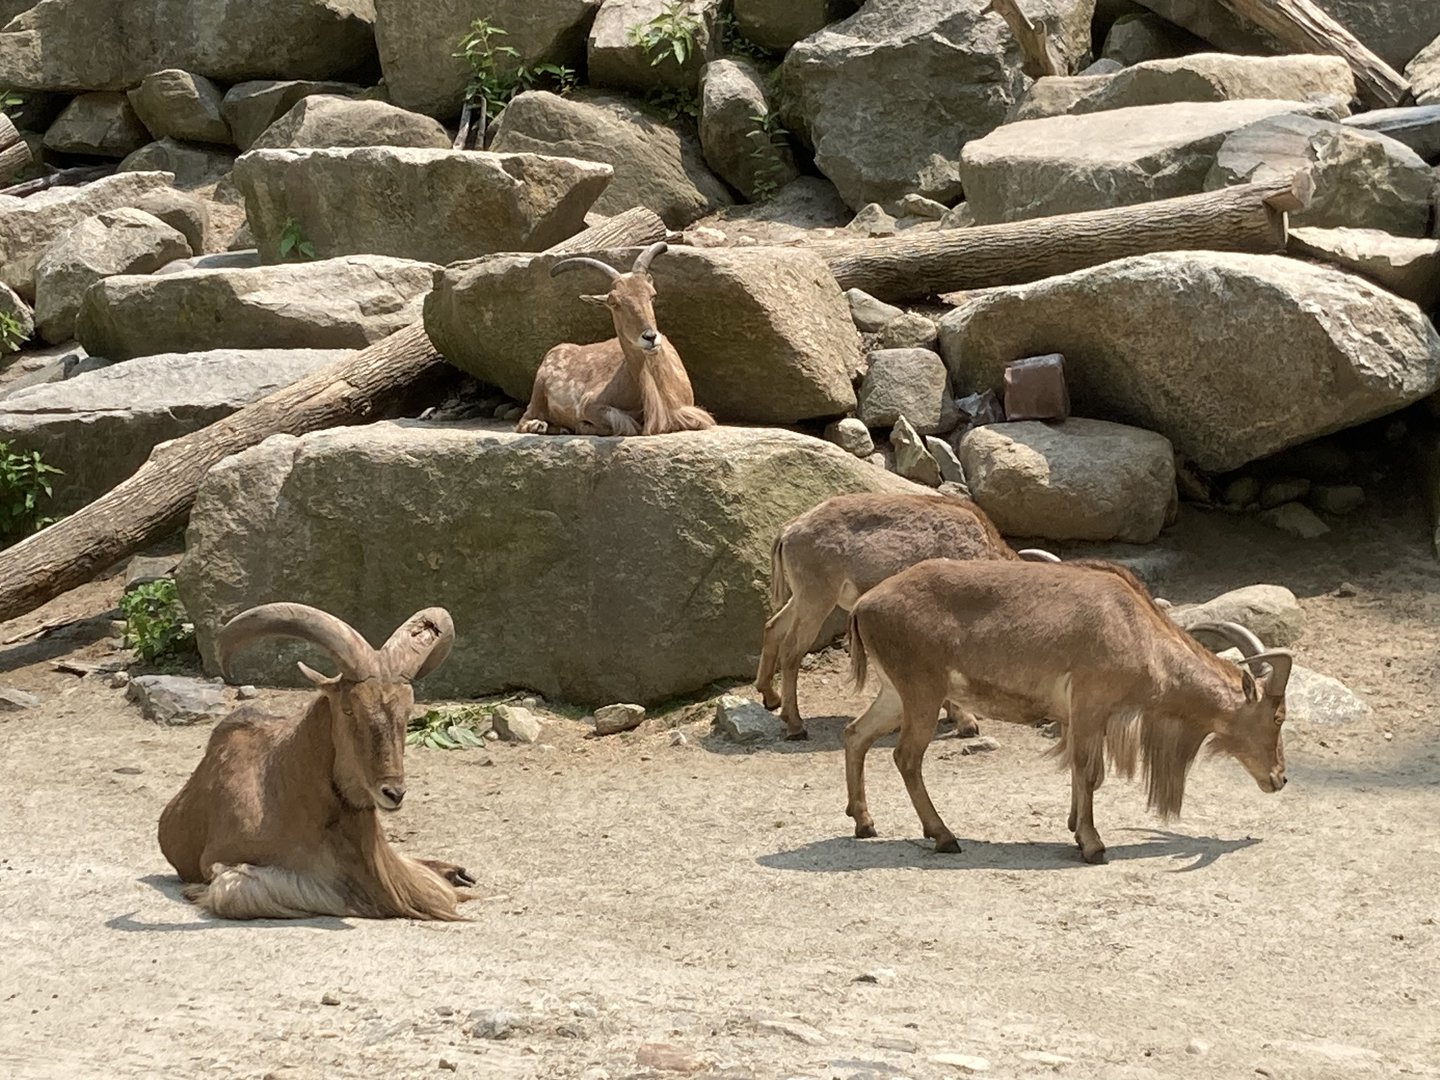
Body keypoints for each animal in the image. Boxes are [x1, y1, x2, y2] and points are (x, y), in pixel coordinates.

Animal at [516, 241, 716, 437]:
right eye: (614, 302)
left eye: (652, 295)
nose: (650, 337)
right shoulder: (589, 404)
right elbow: (621, 423)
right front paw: (583, 426)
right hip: (538, 391)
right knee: (524, 420)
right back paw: (540, 426)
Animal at [757, 492, 1061, 740]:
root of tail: (789, 531)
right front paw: (966, 722)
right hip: (817, 599)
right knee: (792, 650)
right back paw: (795, 725)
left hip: (802, 598)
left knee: (772, 627)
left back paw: (770, 697)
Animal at [844, 559, 1291, 863]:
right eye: (1277, 717)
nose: (1280, 778)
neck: (1137, 632)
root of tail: (865, 604)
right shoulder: (1091, 704)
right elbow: (1089, 770)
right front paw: (1093, 845)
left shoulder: (1080, 716)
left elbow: (1081, 771)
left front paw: (1076, 829)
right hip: (922, 692)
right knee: (906, 757)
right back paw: (944, 836)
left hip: (895, 695)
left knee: (856, 734)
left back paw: (864, 823)